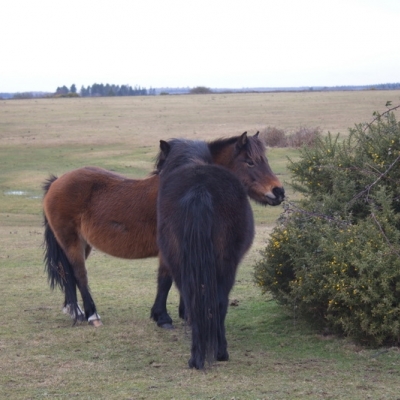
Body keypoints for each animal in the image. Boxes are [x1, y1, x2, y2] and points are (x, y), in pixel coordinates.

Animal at [43, 131, 284, 324]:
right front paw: (162, 317)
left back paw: (75, 310)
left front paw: (185, 313)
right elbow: (165, 280)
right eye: (250, 162)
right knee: (79, 273)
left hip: (82, 243)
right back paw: (91, 313)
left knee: (67, 272)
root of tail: (57, 182)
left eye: (265, 160)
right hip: (71, 241)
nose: (279, 191)